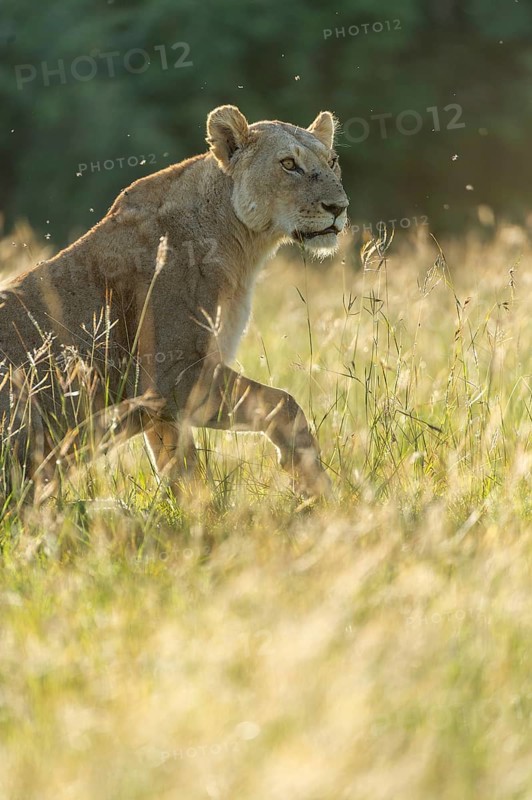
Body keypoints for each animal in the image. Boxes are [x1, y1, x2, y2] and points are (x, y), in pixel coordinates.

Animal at [0, 105, 348, 503]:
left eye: (332, 161)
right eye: (289, 164)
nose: (339, 208)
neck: (243, 247)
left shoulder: (161, 406)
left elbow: (181, 470)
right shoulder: (171, 376)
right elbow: (284, 404)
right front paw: (317, 490)